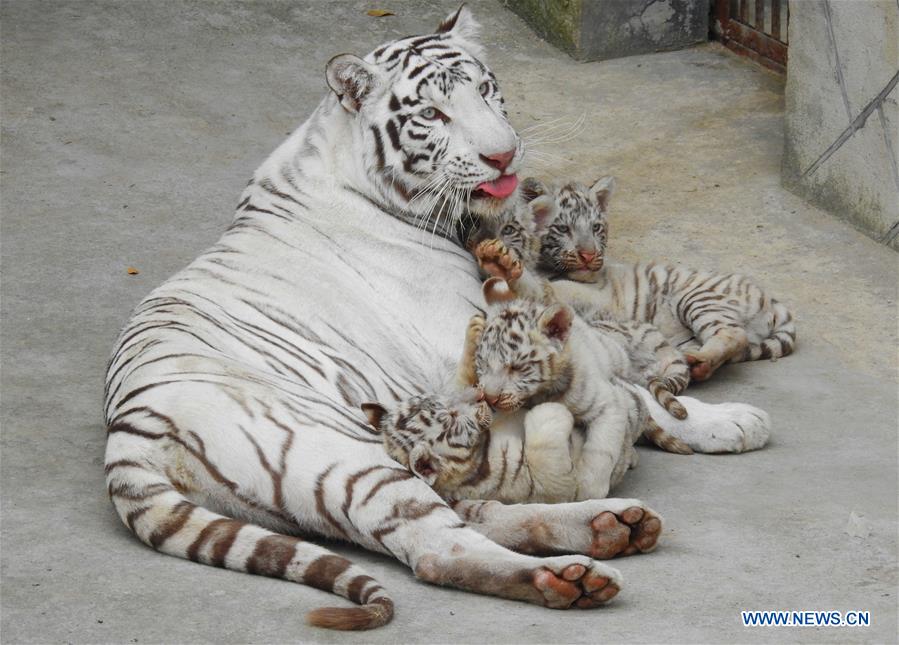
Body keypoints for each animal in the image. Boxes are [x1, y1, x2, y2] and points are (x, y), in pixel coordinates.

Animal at [524, 177, 797, 381]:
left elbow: (557, 288)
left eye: (596, 228)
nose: (589, 255)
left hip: (697, 298)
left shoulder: (598, 295)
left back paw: (700, 362)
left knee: (734, 334)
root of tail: (770, 299)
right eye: (563, 229)